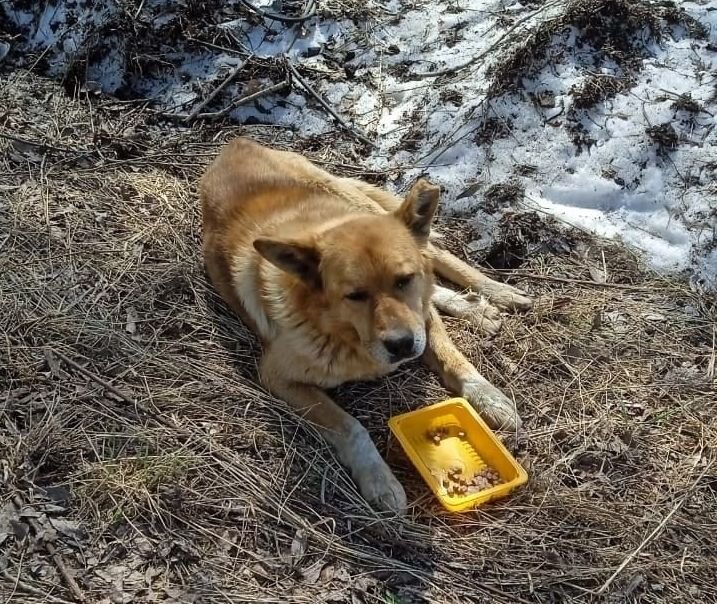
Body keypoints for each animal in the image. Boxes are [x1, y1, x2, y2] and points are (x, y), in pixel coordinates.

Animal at [201, 139, 532, 512]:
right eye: (355, 295)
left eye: (404, 280)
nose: (402, 345)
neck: (343, 334)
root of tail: (235, 144)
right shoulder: (279, 378)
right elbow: (351, 427)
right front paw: (378, 477)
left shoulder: (419, 320)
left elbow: (451, 356)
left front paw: (487, 397)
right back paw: (475, 307)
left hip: (359, 202)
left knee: (438, 259)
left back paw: (494, 293)